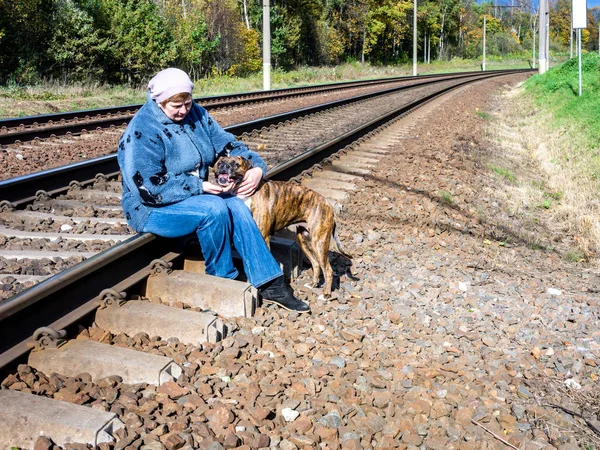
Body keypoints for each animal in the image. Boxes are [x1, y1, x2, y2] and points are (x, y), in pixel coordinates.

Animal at [216, 156, 352, 298]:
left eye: (236, 164)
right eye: (219, 163)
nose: (223, 166)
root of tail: (329, 206)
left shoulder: (263, 237)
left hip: (319, 243)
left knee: (328, 270)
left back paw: (325, 294)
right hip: (304, 241)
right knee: (316, 265)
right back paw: (313, 285)